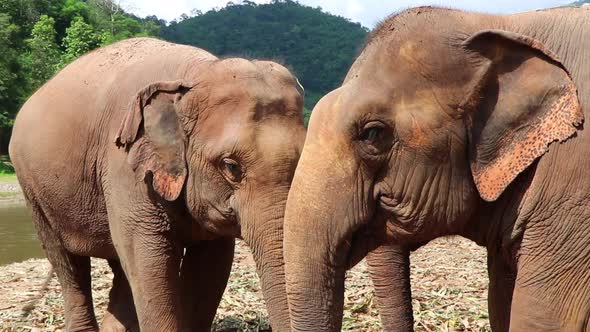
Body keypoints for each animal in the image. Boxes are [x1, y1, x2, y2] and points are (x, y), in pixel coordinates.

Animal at [9, 37, 308, 332]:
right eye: (231, 166)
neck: (194, 73)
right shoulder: (125, 165)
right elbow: (149, 260)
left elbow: (210, 266)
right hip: (33, 189)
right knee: (67, 262)